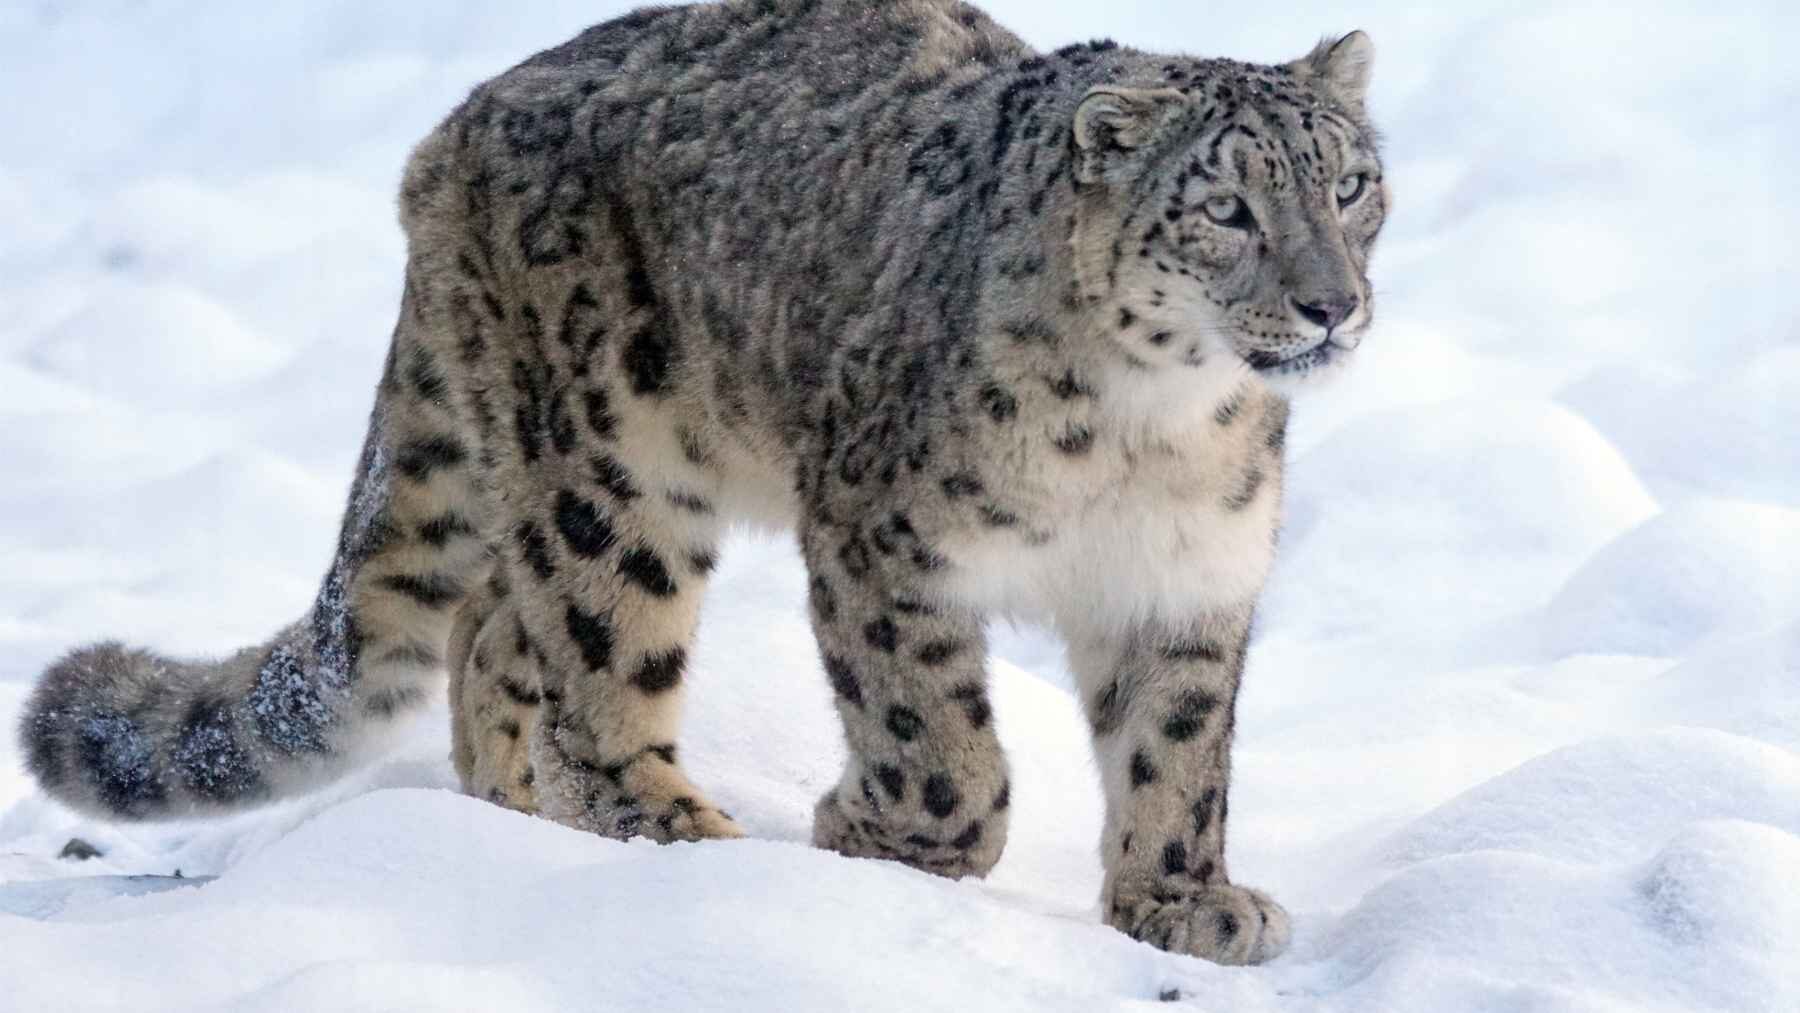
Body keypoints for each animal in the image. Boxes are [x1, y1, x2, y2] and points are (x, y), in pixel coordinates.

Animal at [20, 0, 1387, 966]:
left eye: (1351, 184)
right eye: (1226, 206)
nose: (1334, 301)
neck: (1155, 431)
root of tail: (453, 132)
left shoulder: (1187, 577)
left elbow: (1179, 748)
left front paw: (1184, 899)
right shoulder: (884, 538)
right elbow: (939, 741)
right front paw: (871, 833)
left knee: (492, 632)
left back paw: (512, 816)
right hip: (610, 468)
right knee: (590, 660)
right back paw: (675, 835)